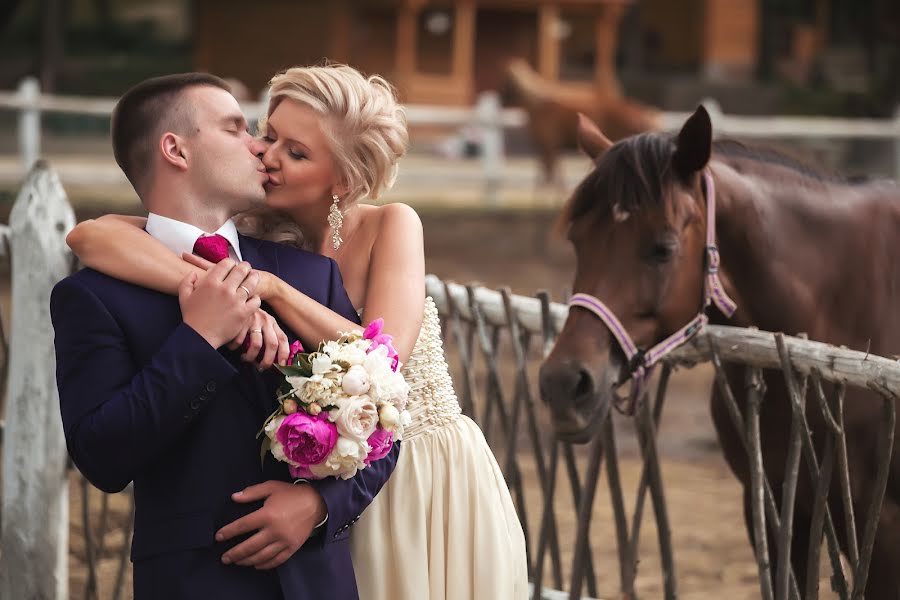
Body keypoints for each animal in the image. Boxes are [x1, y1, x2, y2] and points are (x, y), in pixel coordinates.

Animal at [502, 59, 656, 186]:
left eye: (507, 81)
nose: (502, 101)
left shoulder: (549, 144)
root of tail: (646, 114)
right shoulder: (549, 146)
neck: (538, 105)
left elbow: (549, 176)